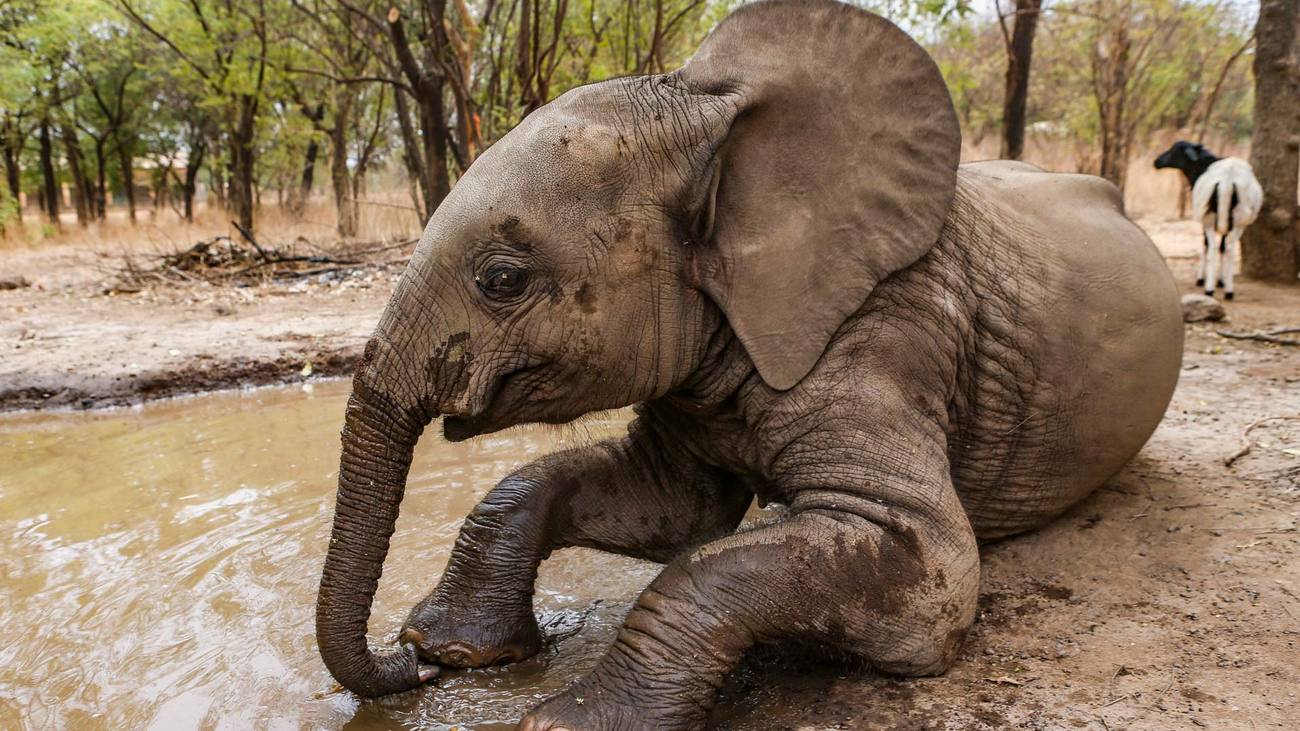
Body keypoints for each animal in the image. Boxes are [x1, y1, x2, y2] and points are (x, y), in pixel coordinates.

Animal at [317, 0, 1190, 723]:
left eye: (502, 280)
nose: (407, 670)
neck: (709, 115)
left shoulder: (891, 324)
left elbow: (922, 575)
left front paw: (557, 719)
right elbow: (674, 511)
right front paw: (453, 650)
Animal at [1159, 139, 1258, 299]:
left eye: (1174, 150)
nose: (1156, 161)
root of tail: (1228, 178)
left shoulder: (1207, 220)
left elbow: (1206, 244)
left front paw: (1202, 279)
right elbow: (1222, 247)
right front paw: (1221, 281)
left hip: (1212, 219)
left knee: (1212, 247)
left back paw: (1210, 289)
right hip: (1234, 220)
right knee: (1228, 248)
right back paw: (1227, 289)